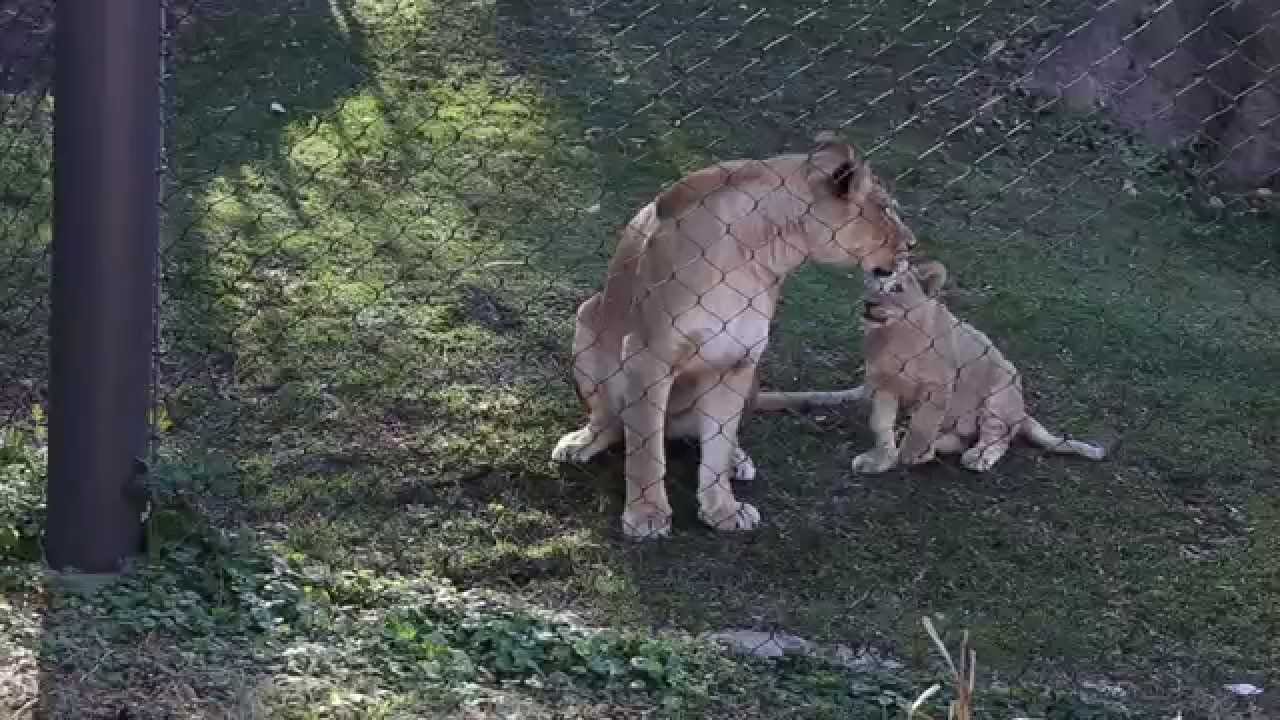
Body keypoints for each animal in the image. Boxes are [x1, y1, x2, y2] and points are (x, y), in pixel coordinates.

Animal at [551, 133, 916, 540]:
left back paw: (737, 460)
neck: (764, 249)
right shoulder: (648, 354)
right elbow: (645, 449)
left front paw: (723, 509)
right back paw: (583, 442)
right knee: (612, 420)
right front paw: (646, 515)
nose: (913, 244)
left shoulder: (737, 359)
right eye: (885, 209)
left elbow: (718, 442)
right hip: (588, 318)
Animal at [849, 260, 1107, 474]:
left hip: (1000, 395)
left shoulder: (939, 385)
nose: (868, 303)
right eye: (870, 284)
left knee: (998, 438)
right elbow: (881, 425)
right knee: (960, 440)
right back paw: (931, 446)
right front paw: (879, 459)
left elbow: (924, 422)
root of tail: (1021, 412)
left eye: (897, 289)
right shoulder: (883, 385)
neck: (893, 335)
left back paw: (974, 457)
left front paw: (913, 452)